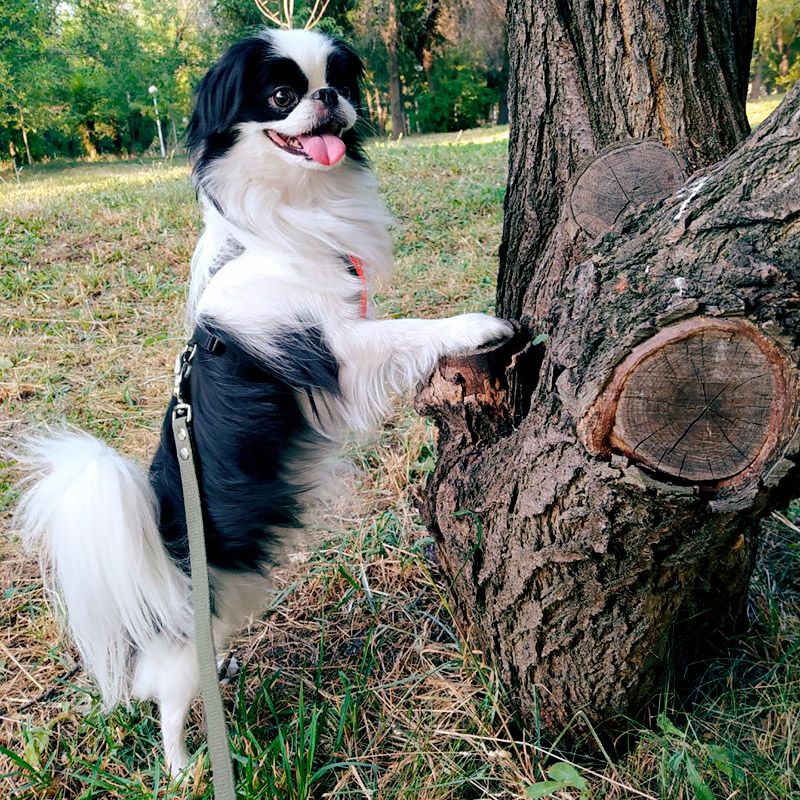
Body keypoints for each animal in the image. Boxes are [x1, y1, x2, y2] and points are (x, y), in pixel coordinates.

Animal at [15, 29, 516, 776]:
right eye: (281, 95)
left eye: (337, 79)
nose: (327, 96)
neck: (290, 216)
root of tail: (159, 562)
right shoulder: (340, 349)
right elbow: (413, 331)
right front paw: (478, 325)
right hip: (182, 655)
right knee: (165, 705)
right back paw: (186, 768)